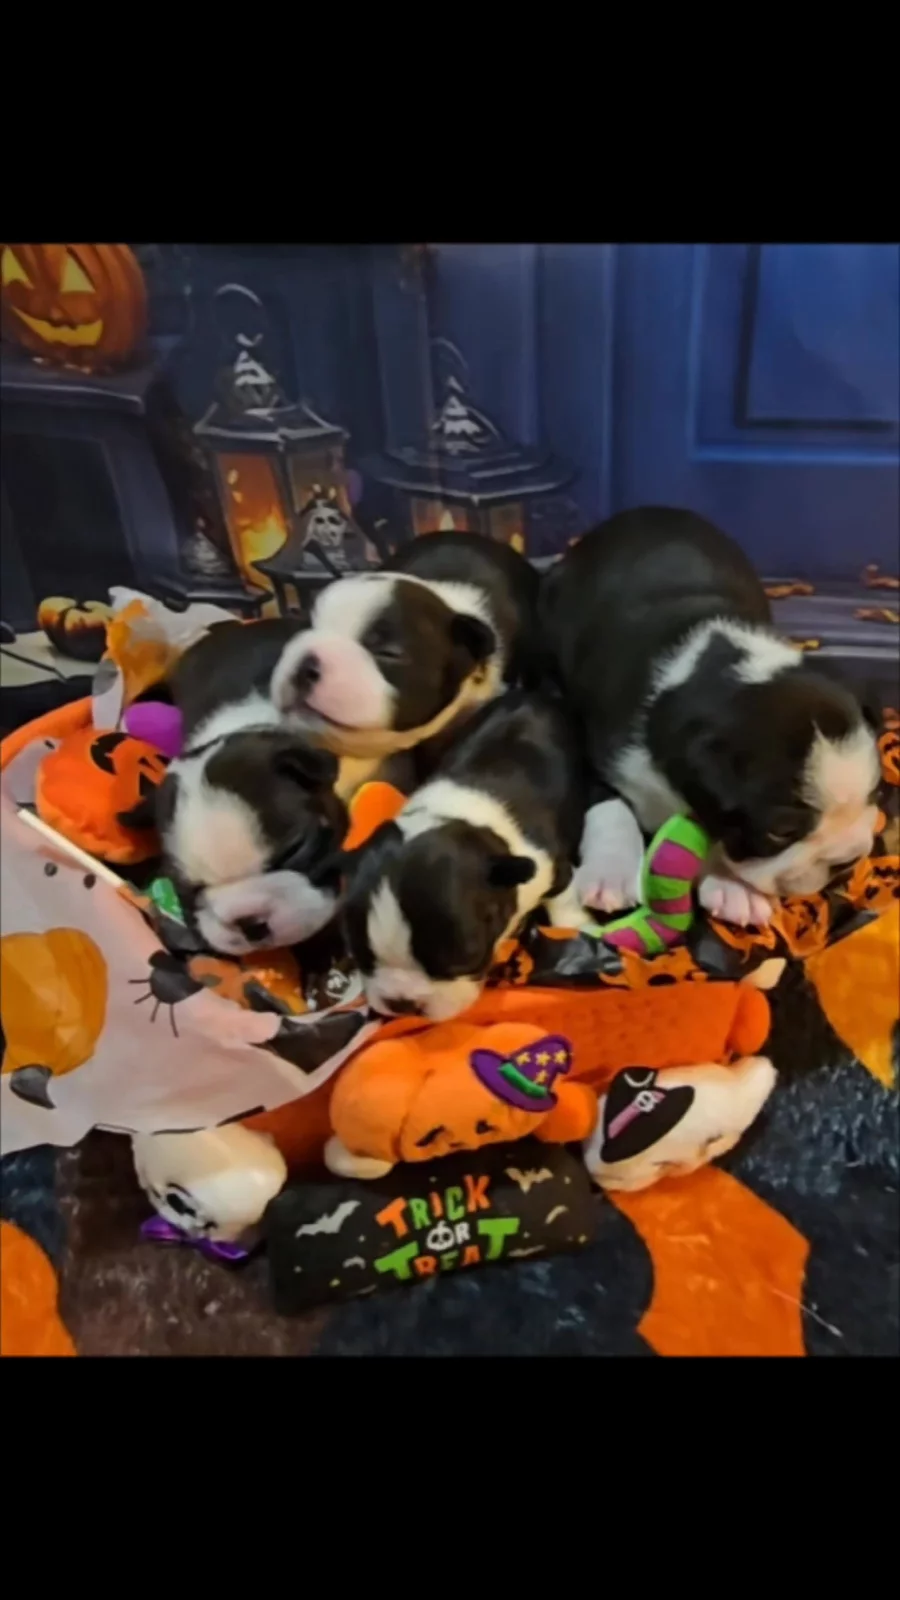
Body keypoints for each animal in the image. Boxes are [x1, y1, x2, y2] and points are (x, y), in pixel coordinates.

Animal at [341, 690, 591, 1023]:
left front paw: (576, 925)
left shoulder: (552, 868)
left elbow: (563, 899)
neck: (457, 820)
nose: (404, 1004)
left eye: (465, 957)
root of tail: (534, 692)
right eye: (358, 954)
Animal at [541, 507, 881, 927]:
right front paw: (612, 871)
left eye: (876, 793)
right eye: (781, 831)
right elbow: (606, 802)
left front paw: (731, 886)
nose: (846, 859)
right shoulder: (591, 739)